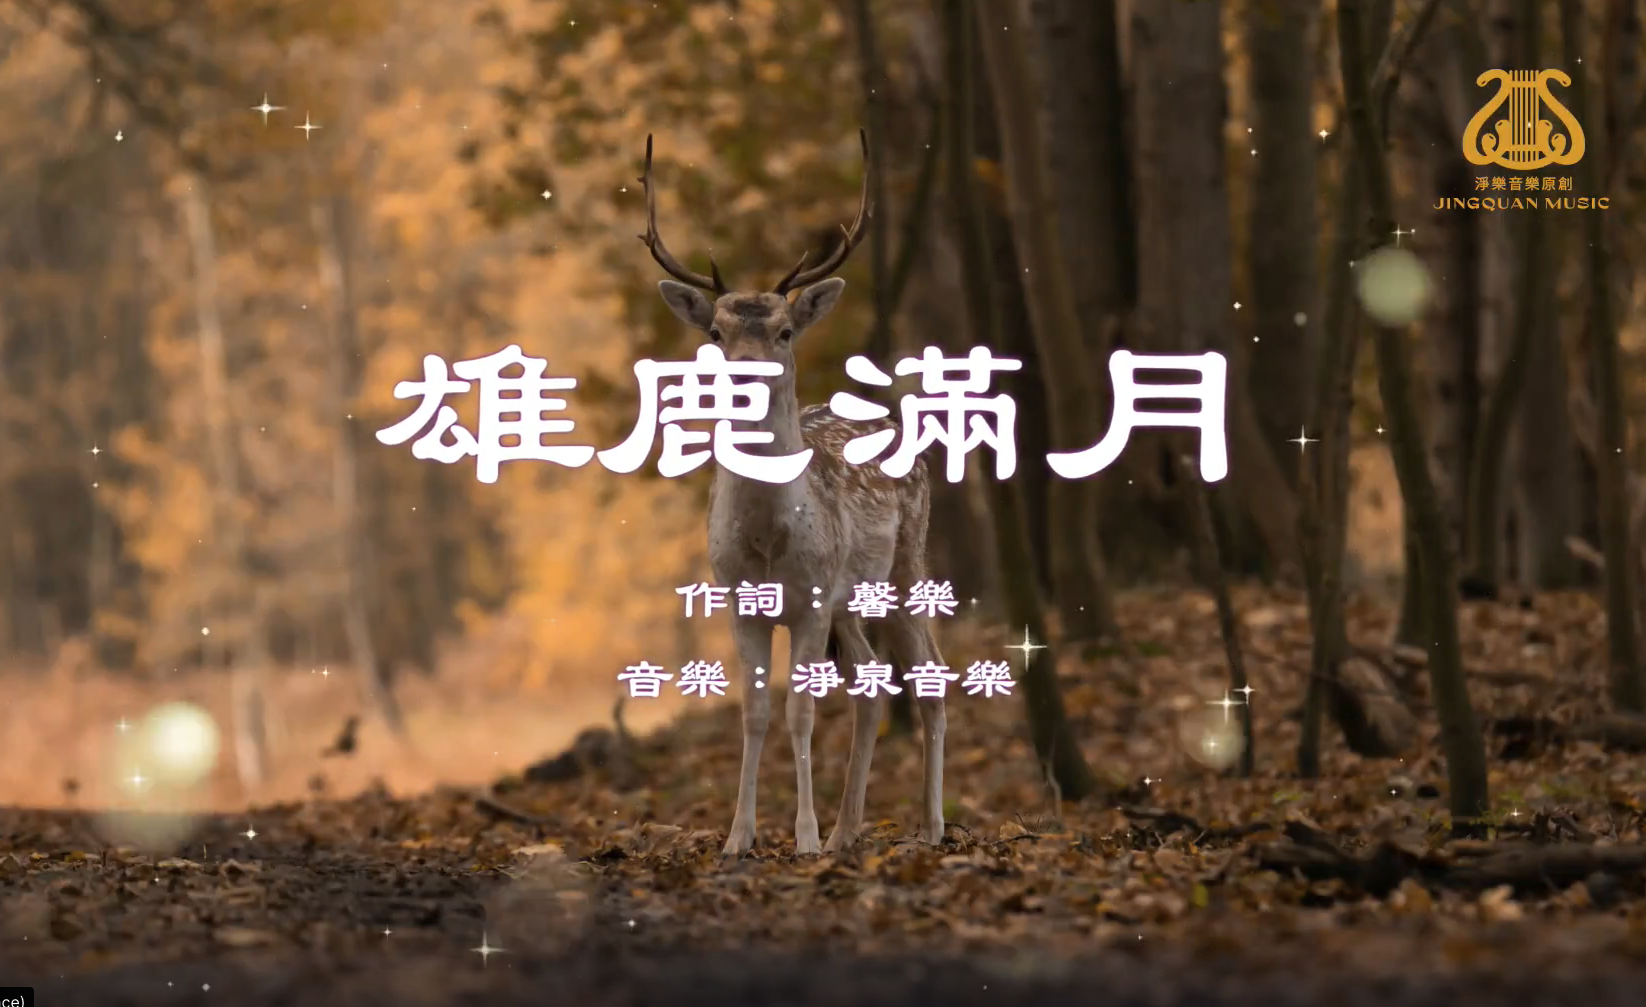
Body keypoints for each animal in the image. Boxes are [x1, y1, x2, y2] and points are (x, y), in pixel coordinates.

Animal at [638, 130, 947, 857]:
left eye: (782, 331)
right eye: (715, 333)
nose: (746, 376)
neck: (769, 543)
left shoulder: (810, 597)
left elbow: (800, 710)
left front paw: (801, 837)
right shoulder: (736, 600)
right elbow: (755, 713)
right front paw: (738, 837)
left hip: (905, 562)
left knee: (931, 677)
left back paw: (930, 824)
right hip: (850, 601)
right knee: (871, 685)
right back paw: (847, 830)